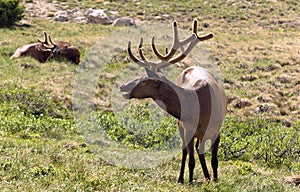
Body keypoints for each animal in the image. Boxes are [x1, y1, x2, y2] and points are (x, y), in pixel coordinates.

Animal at [119, 19, 225, 183]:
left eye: (144, 80)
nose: (123, 86)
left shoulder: (217, 130)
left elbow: (214, 160)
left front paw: (215, 180)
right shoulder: (188, 129)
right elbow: (191, 160)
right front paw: (191, 181)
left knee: (198, 150)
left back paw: (207, 177)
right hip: (181, 127)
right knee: (187, 151)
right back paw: (182, 178)